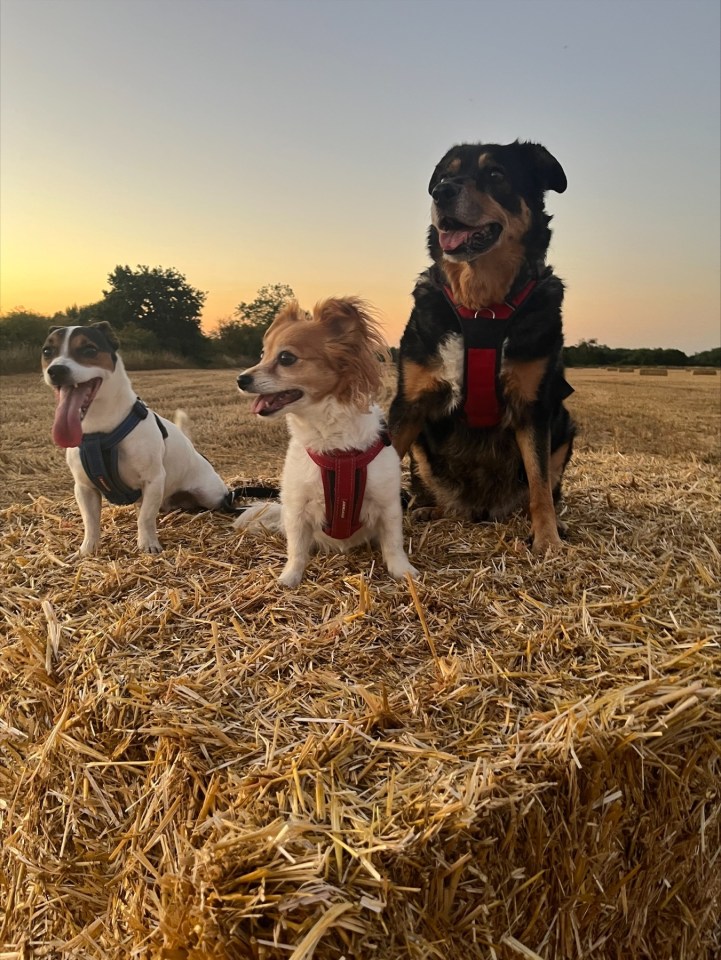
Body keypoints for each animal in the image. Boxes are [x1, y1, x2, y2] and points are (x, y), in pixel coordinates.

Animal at [41, 322, 231, 556]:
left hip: (210, 495)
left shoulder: (153, 479)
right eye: (47, 351)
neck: (99, 431)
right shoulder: (84, 487)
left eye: (89, 350)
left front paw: (148, 543)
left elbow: (145, 518)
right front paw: (87, 550)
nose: (56, 370)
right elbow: (91, 522)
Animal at [236, 296, 416, 588]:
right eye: (263, 355)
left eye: (286, 358)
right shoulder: (297, 508)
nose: (240, 379)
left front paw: (403, 571)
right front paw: (290, 577)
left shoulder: (388, 505)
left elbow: (393, 543)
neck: (335, 448)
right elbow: (297, 550)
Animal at [388, 139, 572, 552]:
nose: (442, 192)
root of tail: (479, 509)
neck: (480, 306)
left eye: (495, 173)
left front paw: (547, 539)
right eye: (444, 175)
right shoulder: (409, 402)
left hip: (566, 425)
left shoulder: (534, 407)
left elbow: (539, 484)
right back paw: (426, 509)